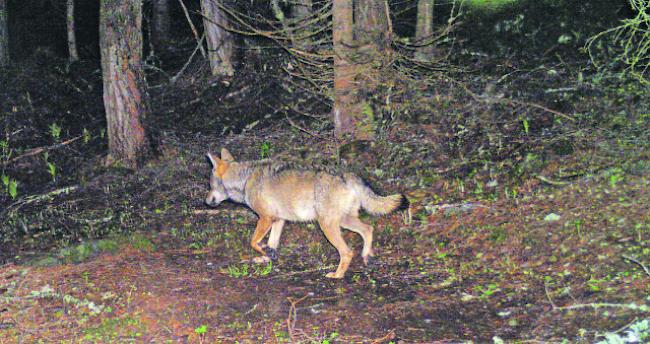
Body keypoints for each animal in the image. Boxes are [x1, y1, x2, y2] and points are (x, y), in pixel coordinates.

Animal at [204, 148, 404, 280]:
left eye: (210, 184)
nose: (206, 201)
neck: (245, 179)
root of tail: (348, 175)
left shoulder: (266, 218)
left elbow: (253, 242)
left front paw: (265, 252)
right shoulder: (278, 220)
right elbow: (271, 243)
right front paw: (268, 256)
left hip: (327, 225)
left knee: (347, 251)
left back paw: (337, 274)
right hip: (344, 221)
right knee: (368, 229)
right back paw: (367, 256)